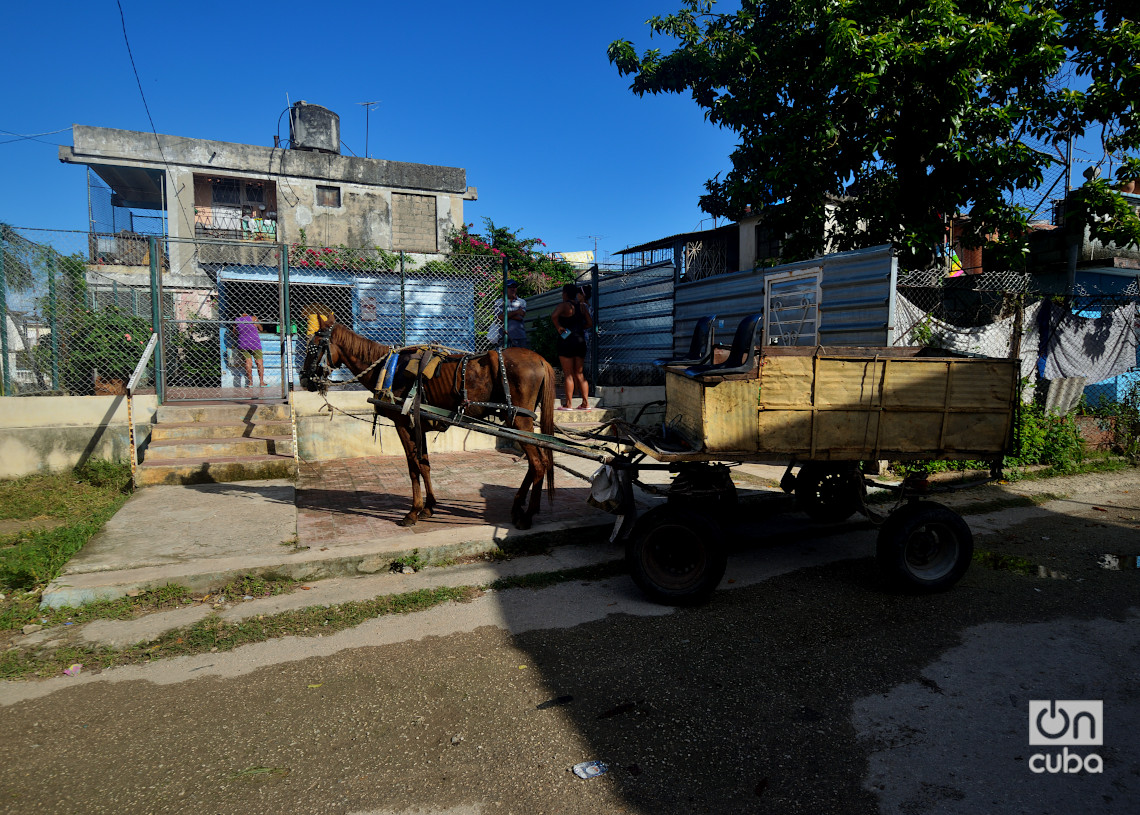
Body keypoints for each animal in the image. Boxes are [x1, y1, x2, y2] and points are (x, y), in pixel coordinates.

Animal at [300, 314, 554, 533]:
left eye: (314, 346)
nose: (303, 379)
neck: (387, 369)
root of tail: (541, 359)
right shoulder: (418, 424)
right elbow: (425, 464)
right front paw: (429, 507)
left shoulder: (403, 424)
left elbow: (413, 467)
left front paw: (413, 511)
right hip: (517, 424)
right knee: (536, 462)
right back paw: (520, 506)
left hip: (519, 421)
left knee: (538, 463)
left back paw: (527, 514)